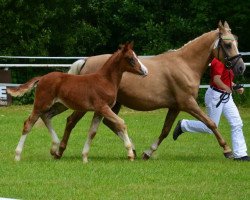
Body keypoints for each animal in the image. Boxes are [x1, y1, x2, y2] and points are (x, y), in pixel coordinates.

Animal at [7, 42, 148, 162]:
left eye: (136, 56)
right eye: (130, 58)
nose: (145, 71)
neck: (105, 80)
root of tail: (42, 78)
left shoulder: (98, 111)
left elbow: (92, 132)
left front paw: (85, 157)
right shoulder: (103, 107)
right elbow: (121, 123)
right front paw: (130, 154)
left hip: (59, 105)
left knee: (46, 117)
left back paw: (55, 147)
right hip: (41, 104)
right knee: (28, 124)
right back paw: (17, 156)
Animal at [58, 21, 244, 159]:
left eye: (236, 42)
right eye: (228, 44)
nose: (241, 67)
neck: (185, 64)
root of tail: (86, 61)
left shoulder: (175, 107)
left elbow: (166, 130)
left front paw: (148, 152)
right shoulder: (188, 103)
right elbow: (210, 123)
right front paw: (227, 150)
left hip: (112, 104)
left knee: (111, 123)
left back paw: (132, 150)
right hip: (90, 104)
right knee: (71, 121)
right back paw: (59, 150)